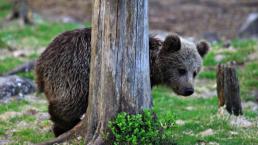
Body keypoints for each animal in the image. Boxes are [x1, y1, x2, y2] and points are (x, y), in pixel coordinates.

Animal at [35, 27, 210, 137]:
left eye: (195, 72)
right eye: (181, 70)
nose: (189, 90)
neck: (152, 62)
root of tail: (41, 61)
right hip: (73, 71)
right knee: (68, 102)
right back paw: (64, 126)